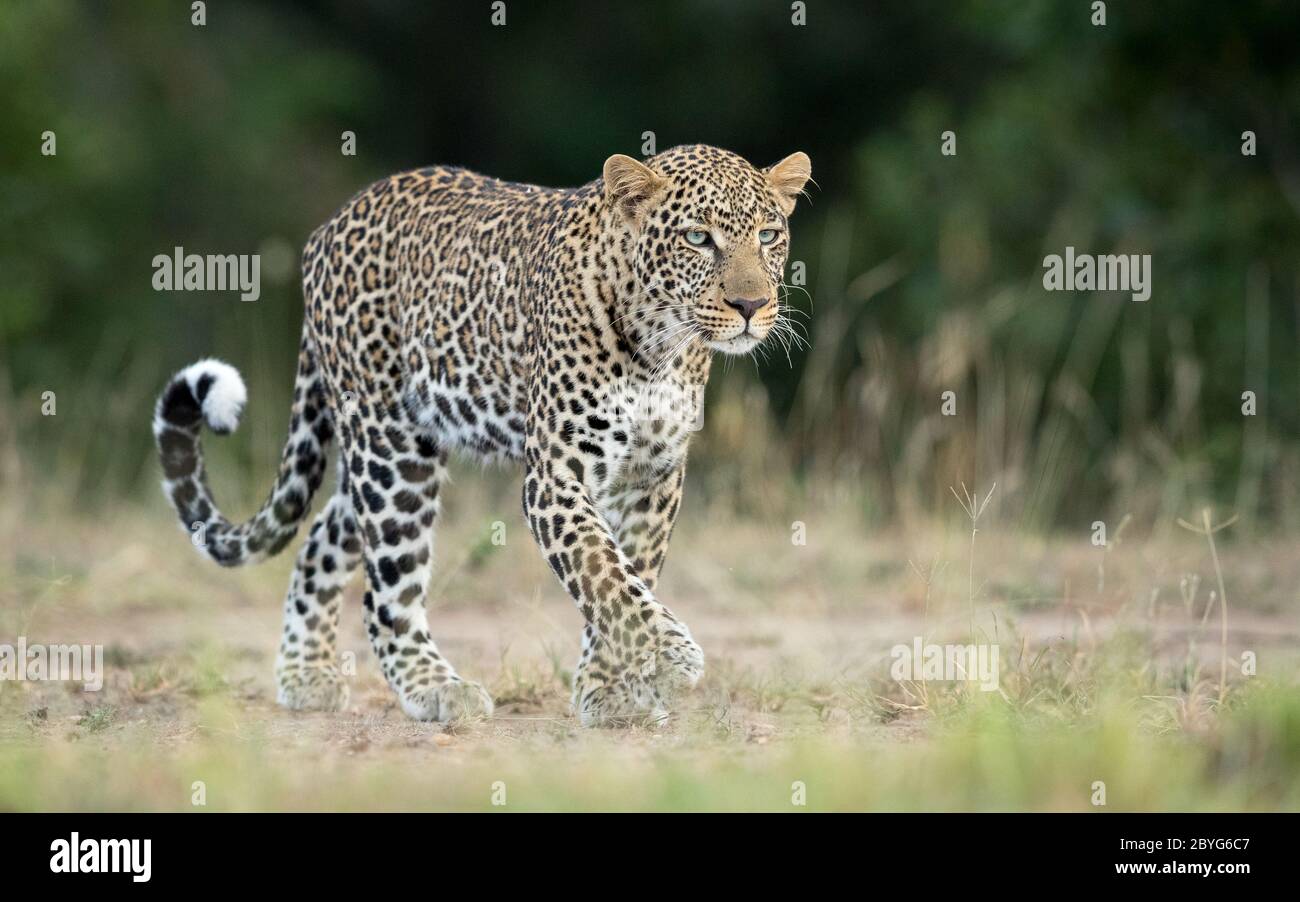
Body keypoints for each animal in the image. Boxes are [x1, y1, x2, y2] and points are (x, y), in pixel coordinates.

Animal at [154, 146, 811, 727]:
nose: (751, 304)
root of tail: (330, 226)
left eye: (768, 235)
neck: (661, 347)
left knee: (321, 540)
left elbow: (631, 573)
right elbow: (603, 571)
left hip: (386, 452)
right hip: (391, 450)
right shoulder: (556, 474)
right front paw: (670, 658)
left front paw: (610, 690)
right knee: (385, 591)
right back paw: (435, 688)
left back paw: (304, 676)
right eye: (698, 238)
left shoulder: (653, 476)